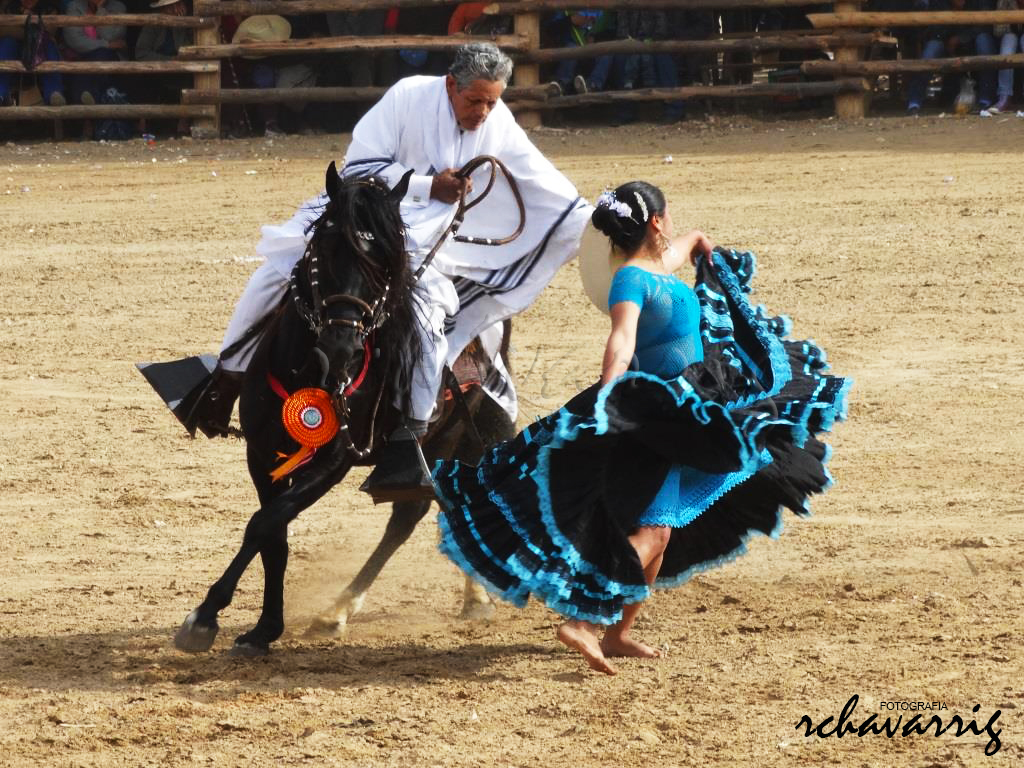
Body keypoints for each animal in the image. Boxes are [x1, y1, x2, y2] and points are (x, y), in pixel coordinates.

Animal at [174, 165, 520, 659]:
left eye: (383, 265)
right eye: (324, 248)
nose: (342, 349)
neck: (307, 371)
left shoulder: (334, 460)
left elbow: (264, 524)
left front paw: (204, 617)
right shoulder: (261, 453)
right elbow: (274, 535)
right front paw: (263, 628)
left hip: (447, 435)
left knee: (417, 512)